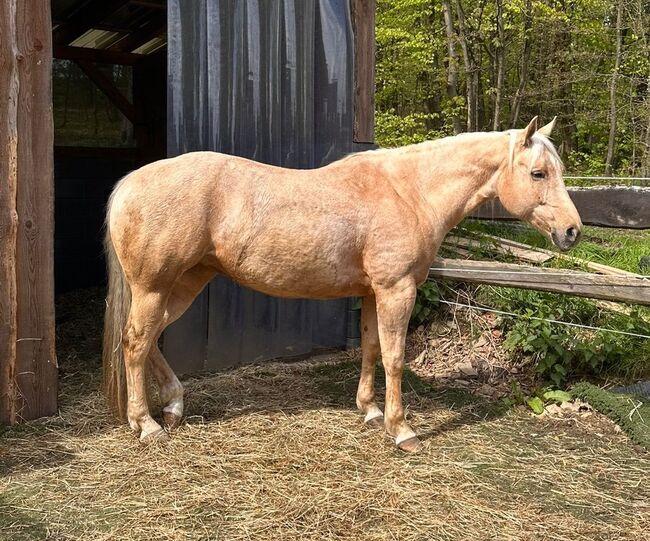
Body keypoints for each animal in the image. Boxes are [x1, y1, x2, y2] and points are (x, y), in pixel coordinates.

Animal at [104, 116, 580, 450]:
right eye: (539, 173)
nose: (572, 232)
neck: (409, 192)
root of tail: (132, 182)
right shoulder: (397, 290)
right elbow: (394, 357)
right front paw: (401, 429)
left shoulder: (373, 292)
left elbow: (370, 348)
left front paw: (369, 410)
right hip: (154, 287)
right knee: (136, 342)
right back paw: (147, 425)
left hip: (185, 283)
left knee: (149, 339)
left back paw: (173, 406)